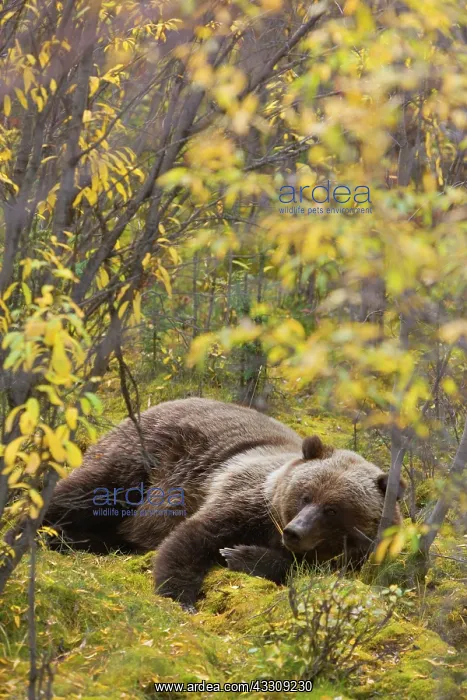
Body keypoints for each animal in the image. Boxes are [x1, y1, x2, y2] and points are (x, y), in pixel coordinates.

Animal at [43, 397, 405, 610]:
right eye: (305, 495)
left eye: (332, 510)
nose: (294, 532)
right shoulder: (244, 494)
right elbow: (196, 535)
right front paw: (181, 595)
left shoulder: (357, 558)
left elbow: (302, 568)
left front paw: (241, 555)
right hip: (147, 459)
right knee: (91, 490)